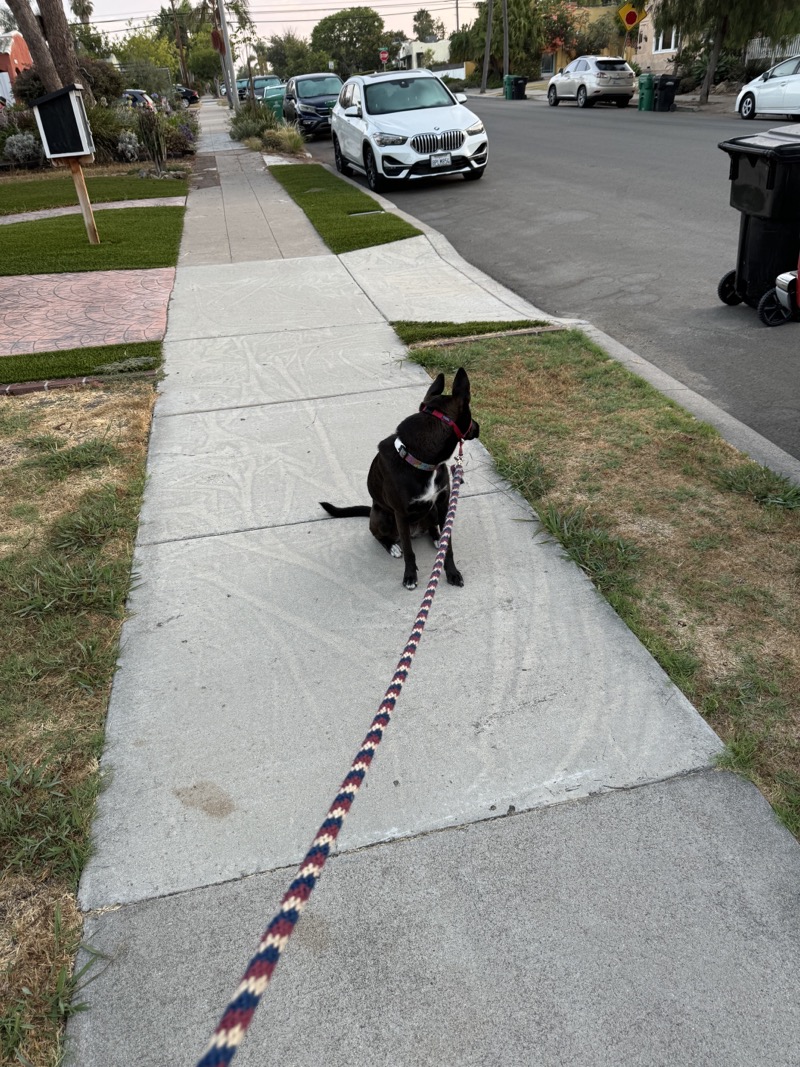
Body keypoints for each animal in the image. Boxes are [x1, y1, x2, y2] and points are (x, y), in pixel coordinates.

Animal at [322, 369, 482, 593]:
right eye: (470, 412)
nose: (479, 427)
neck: (422, 458)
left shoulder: (443, 504)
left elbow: (447, 545)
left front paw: (452, 572)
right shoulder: (401, 514)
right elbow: (409, 551)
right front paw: (410, 576)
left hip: (432, 510)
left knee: (433, 529)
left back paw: (435, 537)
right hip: (383, 517)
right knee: (379, 535)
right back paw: (392, 547)